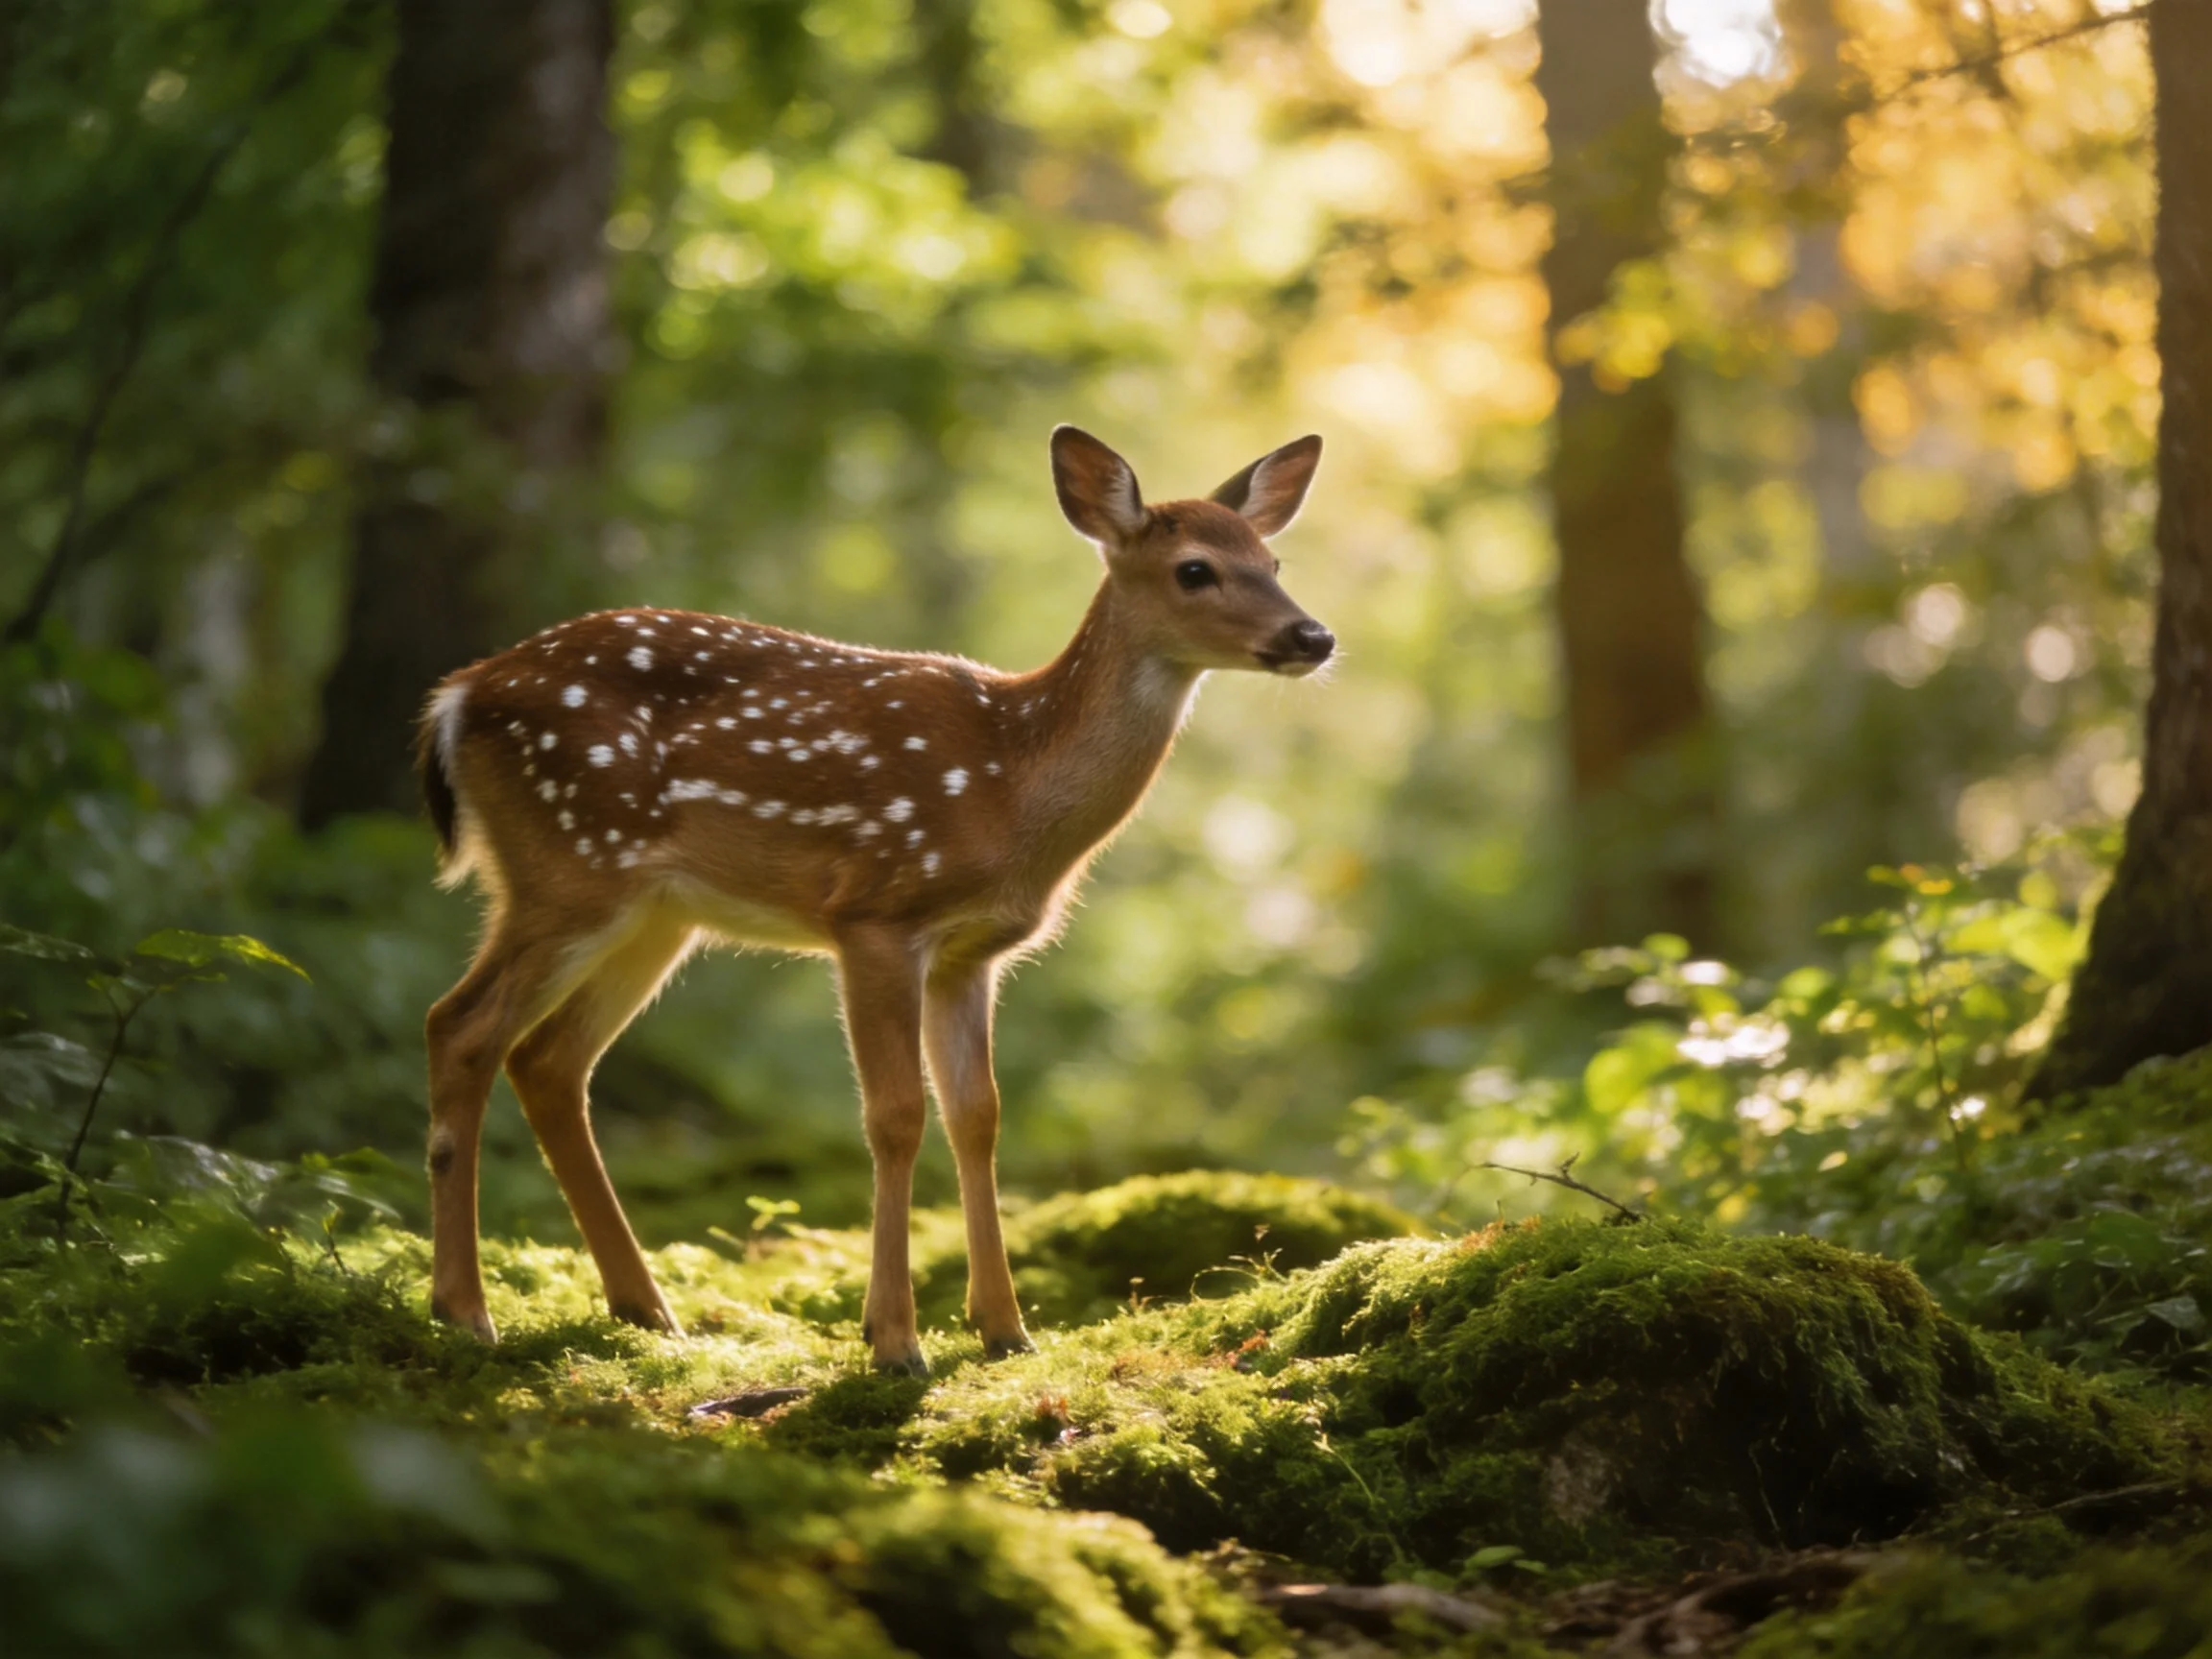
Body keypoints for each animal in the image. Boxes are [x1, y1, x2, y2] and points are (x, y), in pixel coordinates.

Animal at [415, 426, 1332, 1374]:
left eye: (1273, 559)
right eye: (1195, 570)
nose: (1314, 635)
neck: (1013, 787)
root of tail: (455, 697)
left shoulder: (972, 953)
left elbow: (978, 1116)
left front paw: (1005, 1328)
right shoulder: (876, 914)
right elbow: (895, 1116)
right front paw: (894, 1339)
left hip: (655, 911)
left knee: (549, 1059)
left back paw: (646, 1310)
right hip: (567, 864)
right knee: (462, 1026)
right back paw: (465, 1310)